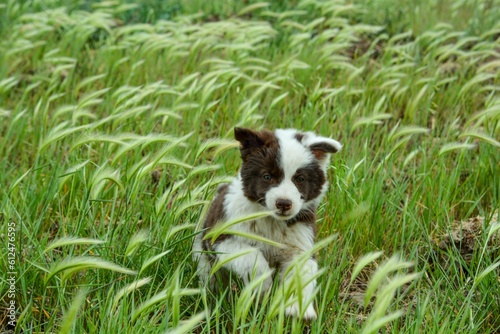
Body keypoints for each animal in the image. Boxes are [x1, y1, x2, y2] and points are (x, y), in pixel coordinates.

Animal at [193, 126, 342, 320]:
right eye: (267, 176)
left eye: (300, 179)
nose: (284, 203)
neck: (272, 221)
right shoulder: (223, 239)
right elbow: (253, 257)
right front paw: (262, 288)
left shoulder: (299, 245)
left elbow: (301, 274)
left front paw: (297, 309)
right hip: (203, 253)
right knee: (209, 275)